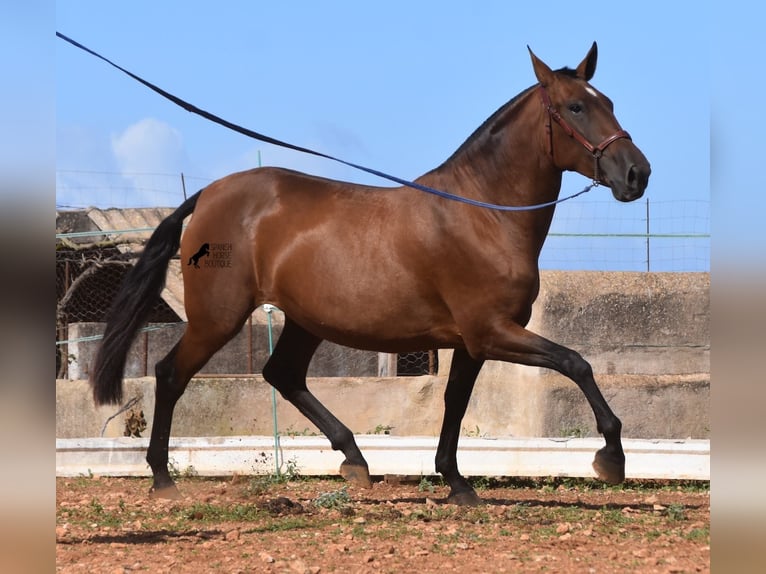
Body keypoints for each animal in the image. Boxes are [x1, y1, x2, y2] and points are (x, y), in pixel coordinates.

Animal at [91, 44, 656, 504]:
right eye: (576, 106)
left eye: (608, 101)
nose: (638, 173)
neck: (484, 214)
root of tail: (209, 195)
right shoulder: (492, 331)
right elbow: (576, 363)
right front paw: (611, 459)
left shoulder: (472, 342)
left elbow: (455, 403)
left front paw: (456, 483)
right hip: (217, 318)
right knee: (171, 374)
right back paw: (162, 478)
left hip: (304, 321)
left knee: (282, 375)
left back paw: (355, 460)